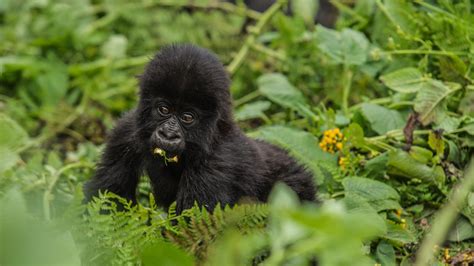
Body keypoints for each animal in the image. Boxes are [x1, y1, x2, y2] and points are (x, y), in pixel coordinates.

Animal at [84, 44, 314, 214]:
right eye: (164, 109)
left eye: (187, 117)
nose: (168, 134)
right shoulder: (127, 132)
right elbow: (109, 198)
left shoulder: (215, 163)